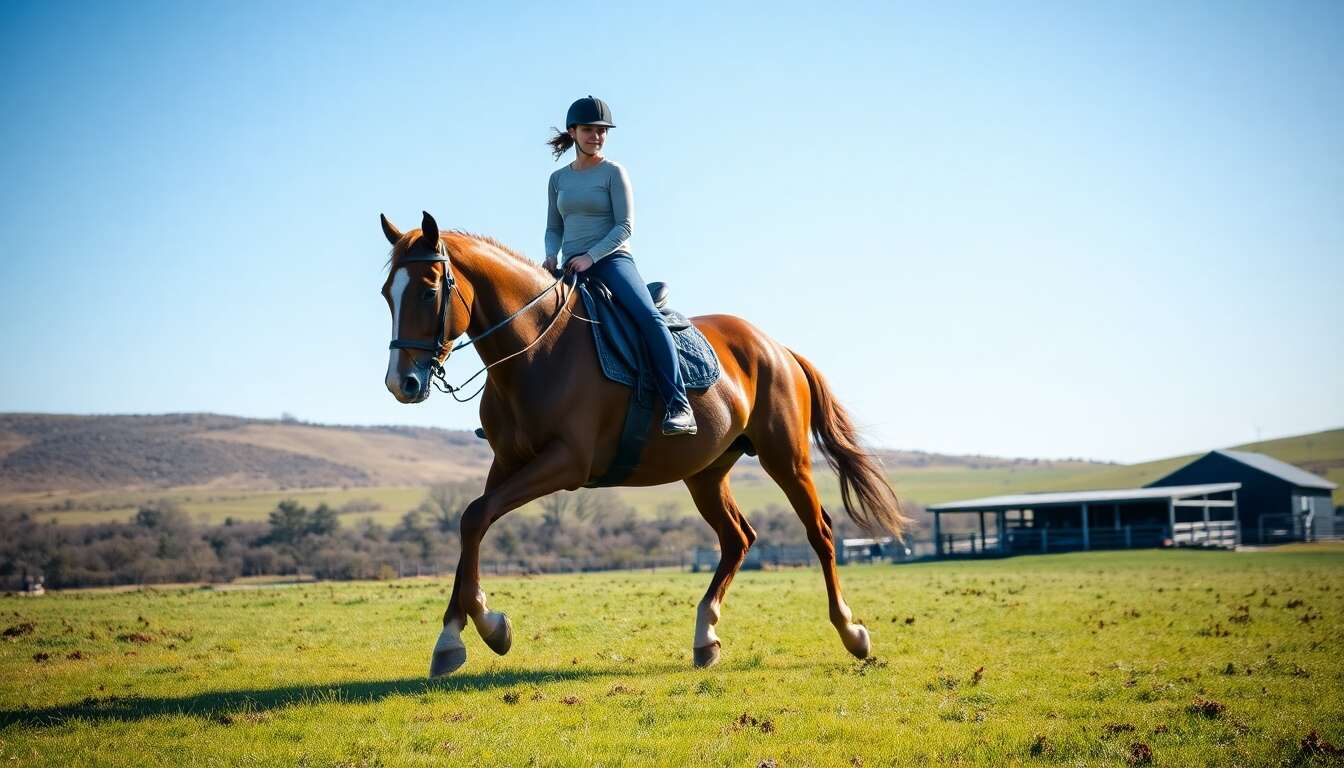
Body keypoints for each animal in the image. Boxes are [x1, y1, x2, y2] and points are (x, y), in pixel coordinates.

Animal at [379, 211, 906, 677]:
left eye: (428, 290)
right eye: (388, 294)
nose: (401, 384)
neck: (535, 351)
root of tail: (777, 348)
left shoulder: (565, 463)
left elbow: (475, 516)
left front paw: (490, 627)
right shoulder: (507, 463)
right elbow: (474, 521)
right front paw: (452, 639)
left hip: (786, 459)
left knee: (819, 532)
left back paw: (851, 633)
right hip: (706, 473)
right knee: (737, 539)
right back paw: (705, 636)